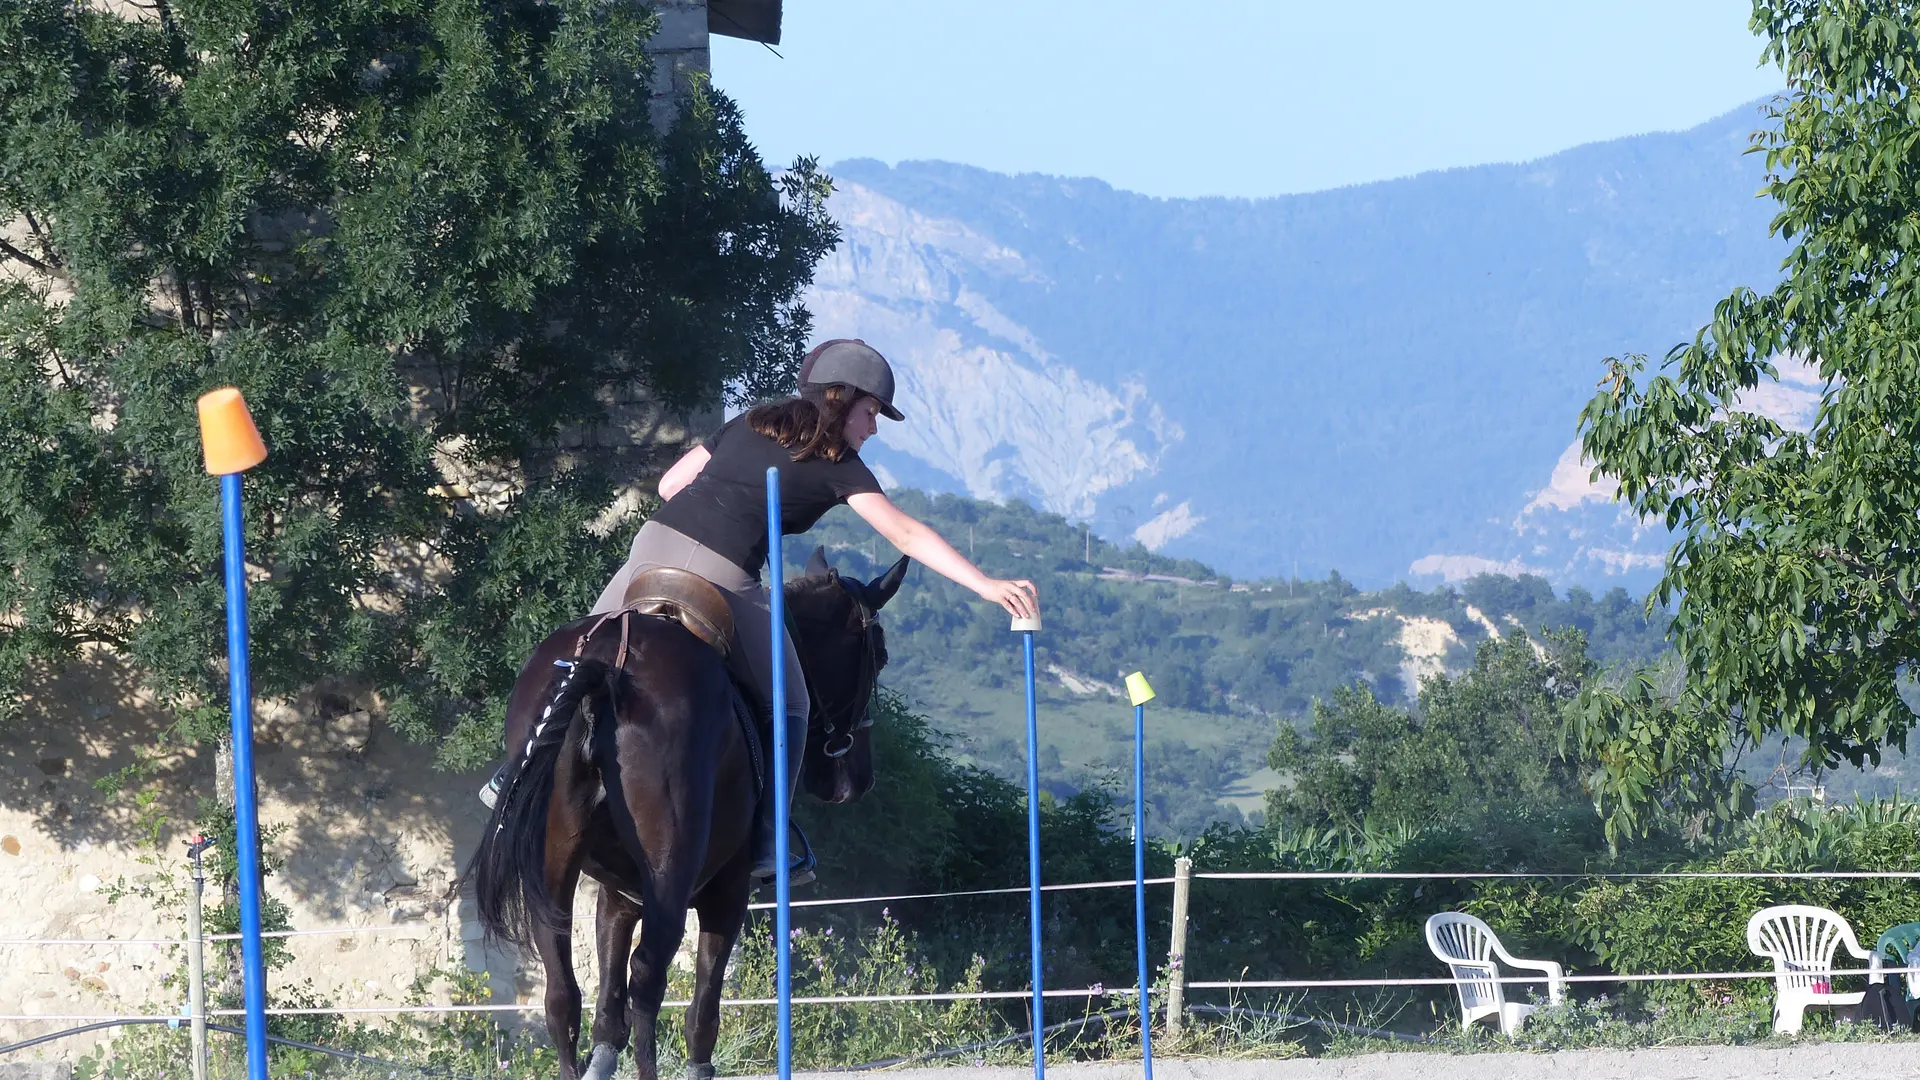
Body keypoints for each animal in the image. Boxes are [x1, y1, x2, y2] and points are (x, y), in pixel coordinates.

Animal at [470, 549, 906, 1076]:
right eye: (878, 656)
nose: (859, 779)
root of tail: (609, 658)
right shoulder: (726, 894)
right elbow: (701, 1006)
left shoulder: (617, 899)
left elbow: (608, 1008)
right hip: (672, 874)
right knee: (647, 978)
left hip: (554, 866)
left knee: (562, 990)